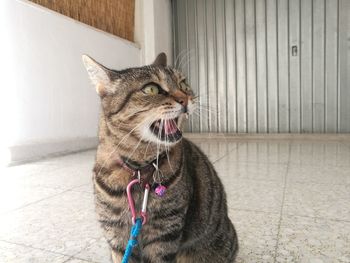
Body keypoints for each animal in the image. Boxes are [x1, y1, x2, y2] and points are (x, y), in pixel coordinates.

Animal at [82, 52, 238, 262]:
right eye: (151, 89)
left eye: (183, 83)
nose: (186, 98)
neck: (139, 169)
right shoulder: (116, 234)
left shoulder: (164, 234)